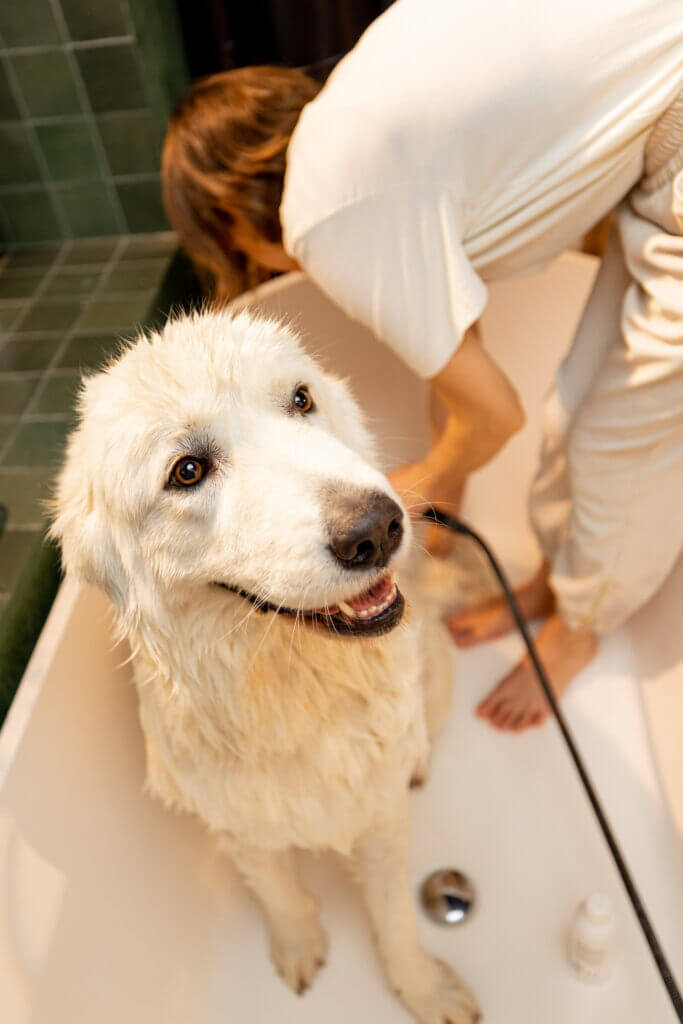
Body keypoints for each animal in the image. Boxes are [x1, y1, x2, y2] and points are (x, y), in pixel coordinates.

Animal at [50, 309, 481, 1024]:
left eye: (300, 400)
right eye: (188, 471)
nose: (376, 529)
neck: (290, 686)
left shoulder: (381, 812)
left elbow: (394, 916)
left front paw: (421, 986)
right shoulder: (237, 824)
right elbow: (277, 891)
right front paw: (299, 945)